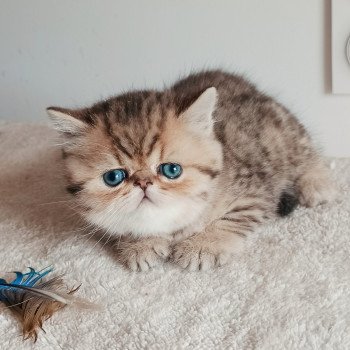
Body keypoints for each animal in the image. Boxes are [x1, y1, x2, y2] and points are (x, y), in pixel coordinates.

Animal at [47, 68, 336, 270]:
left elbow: (231, 220)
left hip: (282, 133)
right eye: (114, 177)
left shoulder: (255, 191)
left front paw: (203, 245)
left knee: (308, 154)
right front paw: (140, 244)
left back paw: (316, 184)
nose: (143, 183)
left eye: (171, 170)